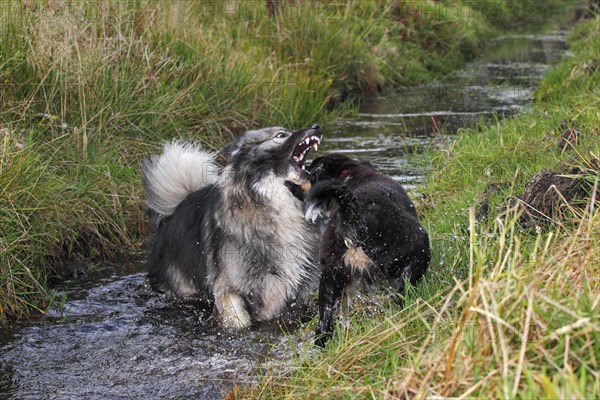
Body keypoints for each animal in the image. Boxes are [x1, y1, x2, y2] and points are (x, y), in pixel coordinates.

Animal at [304, 153, 432, 346]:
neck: (350, 173)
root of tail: (350, 211)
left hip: (330, 276)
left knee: (323, 325)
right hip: (416, 249)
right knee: (402, 295)